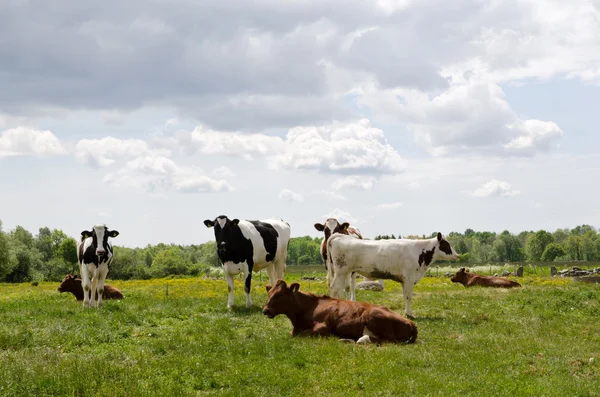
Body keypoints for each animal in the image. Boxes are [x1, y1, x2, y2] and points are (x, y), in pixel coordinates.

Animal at [262, 278, 418, 344]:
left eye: (280, 295)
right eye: (269, 293)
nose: (265, 311)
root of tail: (410, 321)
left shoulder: (323, 328)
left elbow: (302, 335)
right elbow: (292, 334)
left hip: (374, 317)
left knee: (386, 340)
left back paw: (360, 339)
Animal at [326, 232, 458, 318]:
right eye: (446, 244)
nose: (457, 255)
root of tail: (340, 236)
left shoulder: (404, 280)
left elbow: (405, 296)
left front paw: (407, 312)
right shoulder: (409, 278)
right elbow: (409, 296)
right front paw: (410, 314)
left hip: (344, 272)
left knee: (339, 289)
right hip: (341, 270)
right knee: (335, 289)